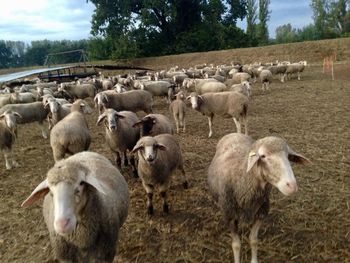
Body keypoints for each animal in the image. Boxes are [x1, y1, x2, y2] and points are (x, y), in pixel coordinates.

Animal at [206, 134, 310, 263]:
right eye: (263, 156)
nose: (292, 186)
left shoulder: (261, 213)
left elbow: (254, 240)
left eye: (288, 156)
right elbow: (236, 245)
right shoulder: (230, 216)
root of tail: (235, 133)